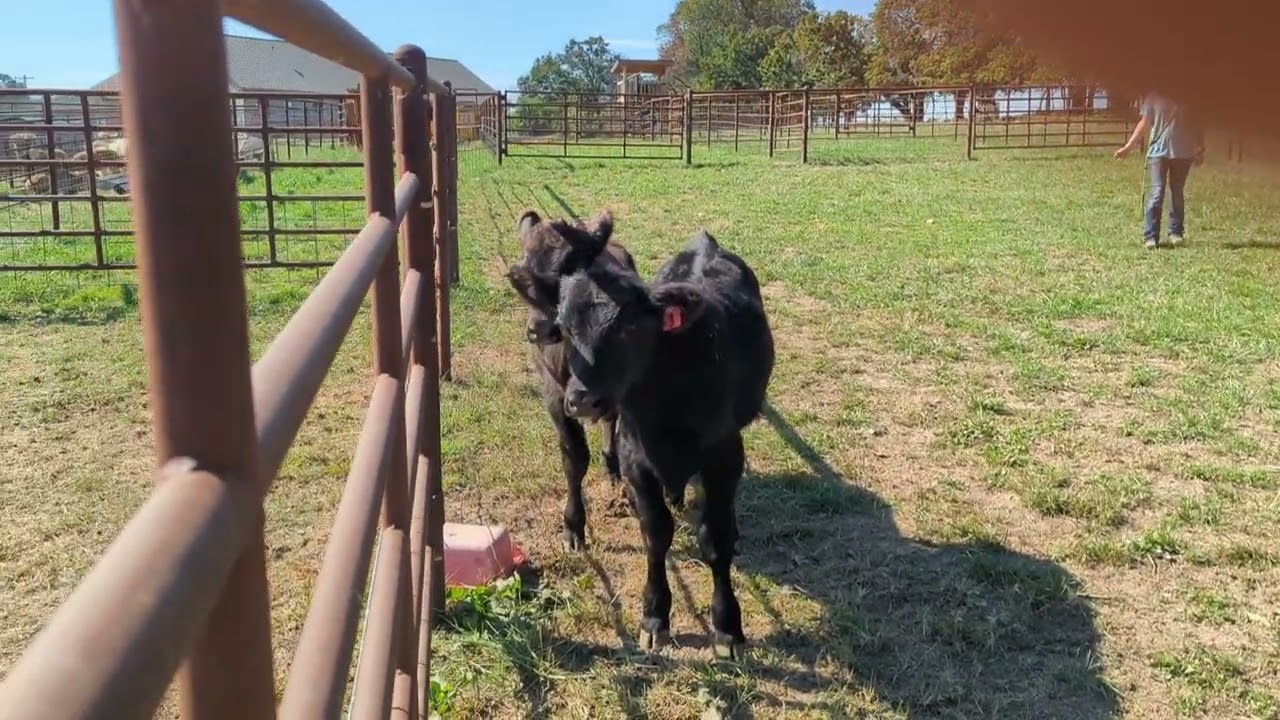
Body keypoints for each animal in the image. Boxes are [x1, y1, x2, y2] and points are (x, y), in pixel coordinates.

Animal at [504, 209, 638, 551]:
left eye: (568, 270)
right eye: (521, 278)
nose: (537, 330)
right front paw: (573, 526)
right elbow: (574, 458)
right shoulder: (555, 398)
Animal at [520, 216, 775, 660]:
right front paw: (655, 617)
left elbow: (716, 539)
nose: (582, 399)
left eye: (628, 326)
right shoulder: (635, 459)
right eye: (567, 327)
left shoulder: (724, 455)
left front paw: (727, 628)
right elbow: (655, 535)